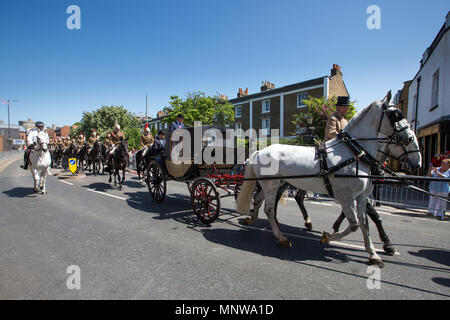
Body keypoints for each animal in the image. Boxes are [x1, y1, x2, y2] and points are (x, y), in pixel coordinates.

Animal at [237, 92, 420, 268]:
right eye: (396, 114)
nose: (417, 162)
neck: (354, 153)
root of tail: (260, 151)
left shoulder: (361, 198)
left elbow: (364, 223)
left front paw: (373, 254)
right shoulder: (346, 197)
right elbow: (354, 225)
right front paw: (328, 237)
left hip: (275, 184)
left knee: (260, 200)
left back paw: (252, 218)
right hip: (271, 185)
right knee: (269, 208)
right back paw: (281, 237)